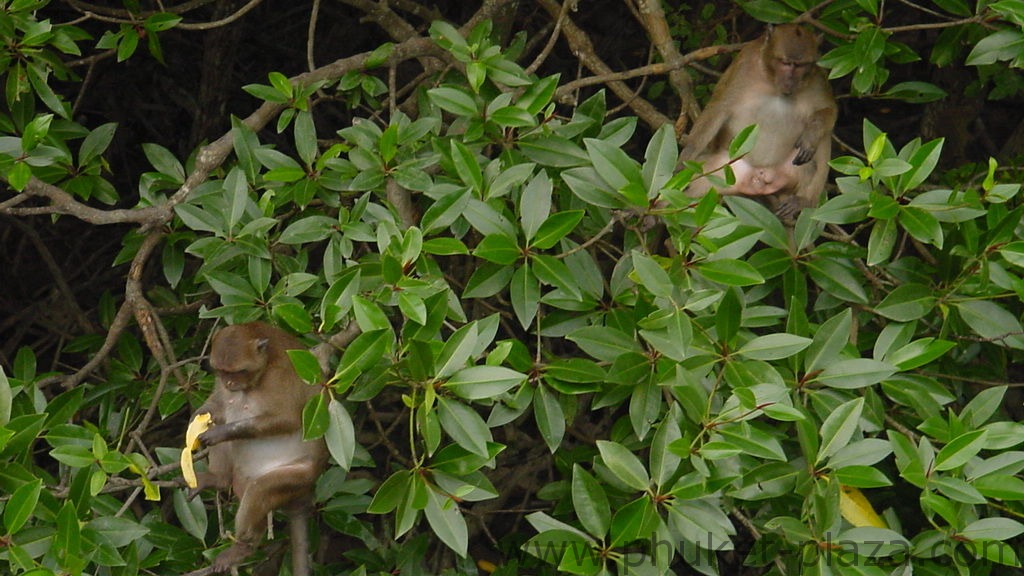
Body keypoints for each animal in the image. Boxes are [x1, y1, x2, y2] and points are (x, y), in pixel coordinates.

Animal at [180, 319, 327, 573]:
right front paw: (197, 419)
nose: (229, 382)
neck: (265, 364)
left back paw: (244, 547)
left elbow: (288, 418)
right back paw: (218, 479)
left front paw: (218, 433)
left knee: (260, 489)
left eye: (238, 371)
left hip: (299, 477)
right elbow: (219, 406)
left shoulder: (283, 373)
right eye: (223, 371)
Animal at [675, 23, 835, 218]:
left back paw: (804, 200)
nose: (790, 81)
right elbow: (718, 109)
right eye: (785, 63)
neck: (773, 81)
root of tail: (762, 177)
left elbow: (828, 110)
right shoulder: (744, 65)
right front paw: (683, 160)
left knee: (823, 139)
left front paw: (810, 137)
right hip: (723, 172)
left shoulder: (817, 77)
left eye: (800, 65)